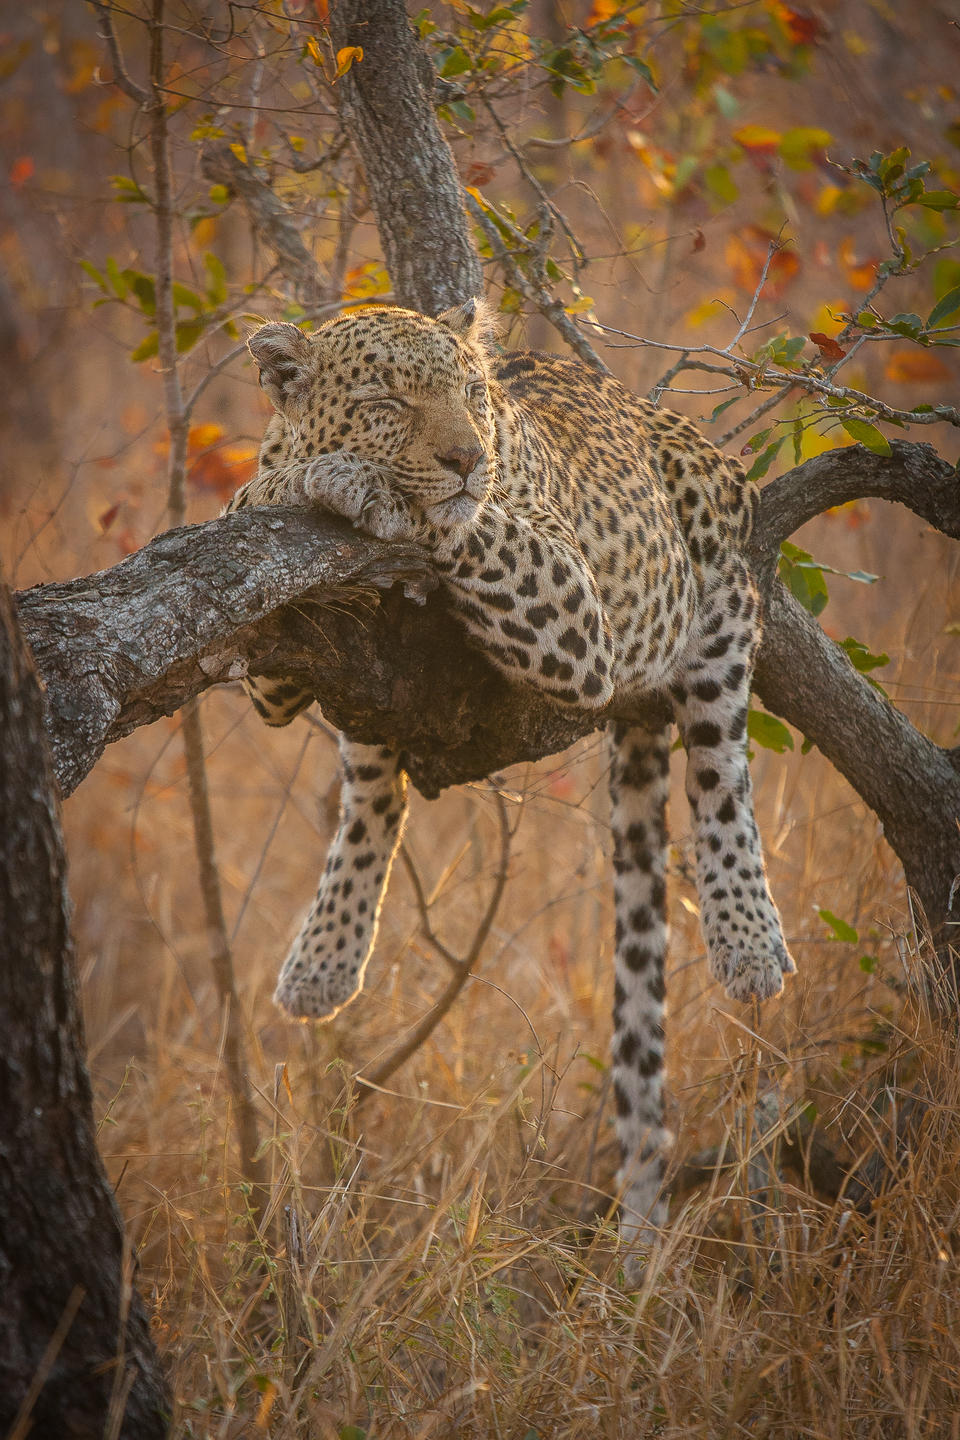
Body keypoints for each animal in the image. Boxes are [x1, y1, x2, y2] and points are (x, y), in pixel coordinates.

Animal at [227, 298, 794, 1255]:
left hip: (716, 572)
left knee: (723, 772)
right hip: (373, 706)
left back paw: (749, 942)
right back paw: (323, 960)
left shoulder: (568, 600)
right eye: (387, 400)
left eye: (469, 393)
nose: (466, 456)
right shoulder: (272, 678)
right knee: (370, 793)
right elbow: (263, 502)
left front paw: (354, 483)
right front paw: (297, 481)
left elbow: (455, 519)